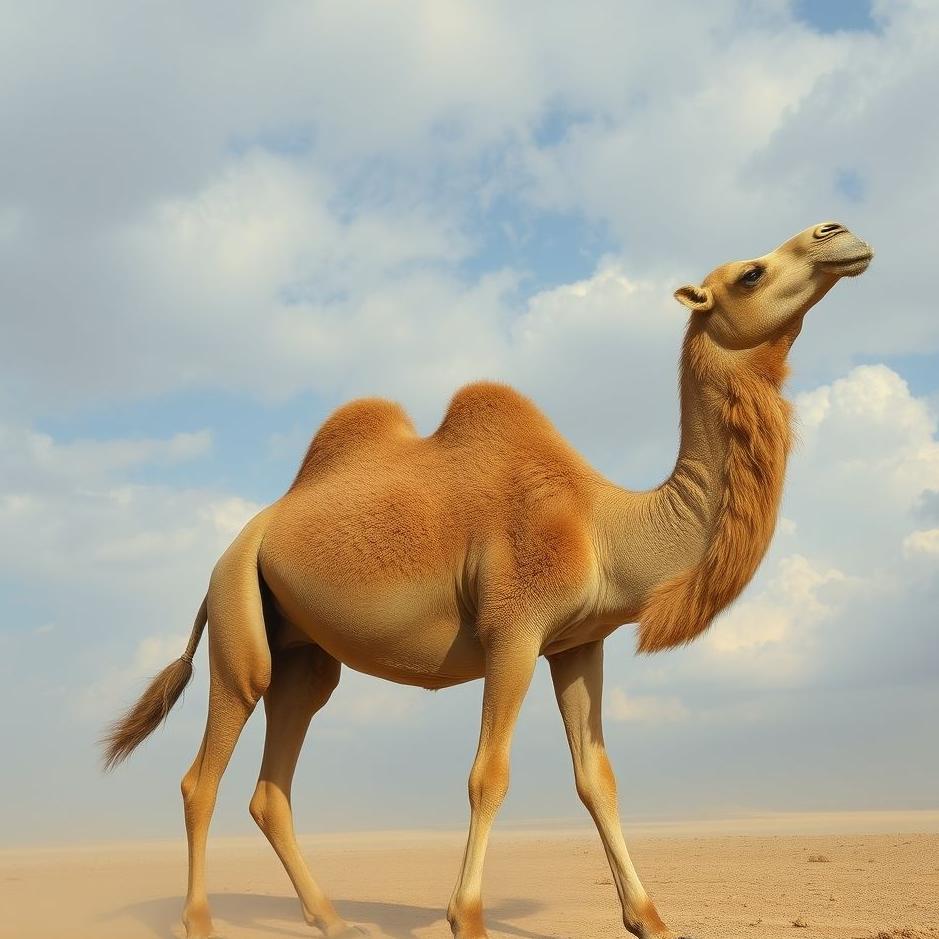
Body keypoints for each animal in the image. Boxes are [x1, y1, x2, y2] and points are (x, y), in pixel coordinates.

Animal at [103, 222, 872, 939]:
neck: (603, 526)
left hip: (305, 655)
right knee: (203, 772)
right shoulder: (514, 629)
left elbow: (597, 778)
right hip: (238, 614)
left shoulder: (576, 645)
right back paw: (200, 918)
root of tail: (238, 543)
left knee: (274, 782)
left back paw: (331, 918)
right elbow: (488, 775)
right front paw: (465, 915)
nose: (837, 233)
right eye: (750, 272)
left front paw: (649, 917)